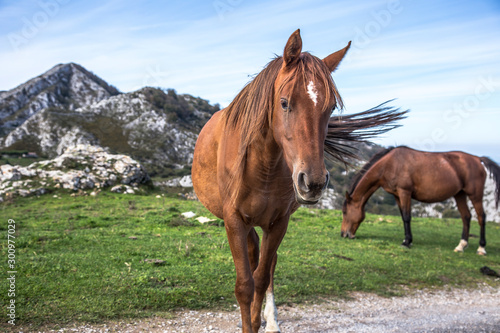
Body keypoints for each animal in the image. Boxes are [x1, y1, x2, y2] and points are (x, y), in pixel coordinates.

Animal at [191, 29, 406, 330]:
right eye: (284, 103)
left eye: (330, 108)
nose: (313, 182)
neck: (263, 168)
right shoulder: (234, 221)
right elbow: (245, 285)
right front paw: (250, 323)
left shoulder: (279, 223)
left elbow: (261, 278)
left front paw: (261, 320)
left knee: (267, 266)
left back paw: (271, 320)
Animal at [340, 146, 500, 254]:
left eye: (344, 212)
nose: (343, 234)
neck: (391, 163)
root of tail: (478, 159)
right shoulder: (397, 195)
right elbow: (403, 217)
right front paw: (407, 240)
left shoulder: (405, 192)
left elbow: (407, 217)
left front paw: (407, 242)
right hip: (459, 194)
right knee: (466, 216)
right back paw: (461, 246)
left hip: (475, 195)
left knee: (481, 217)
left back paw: (481, 248)